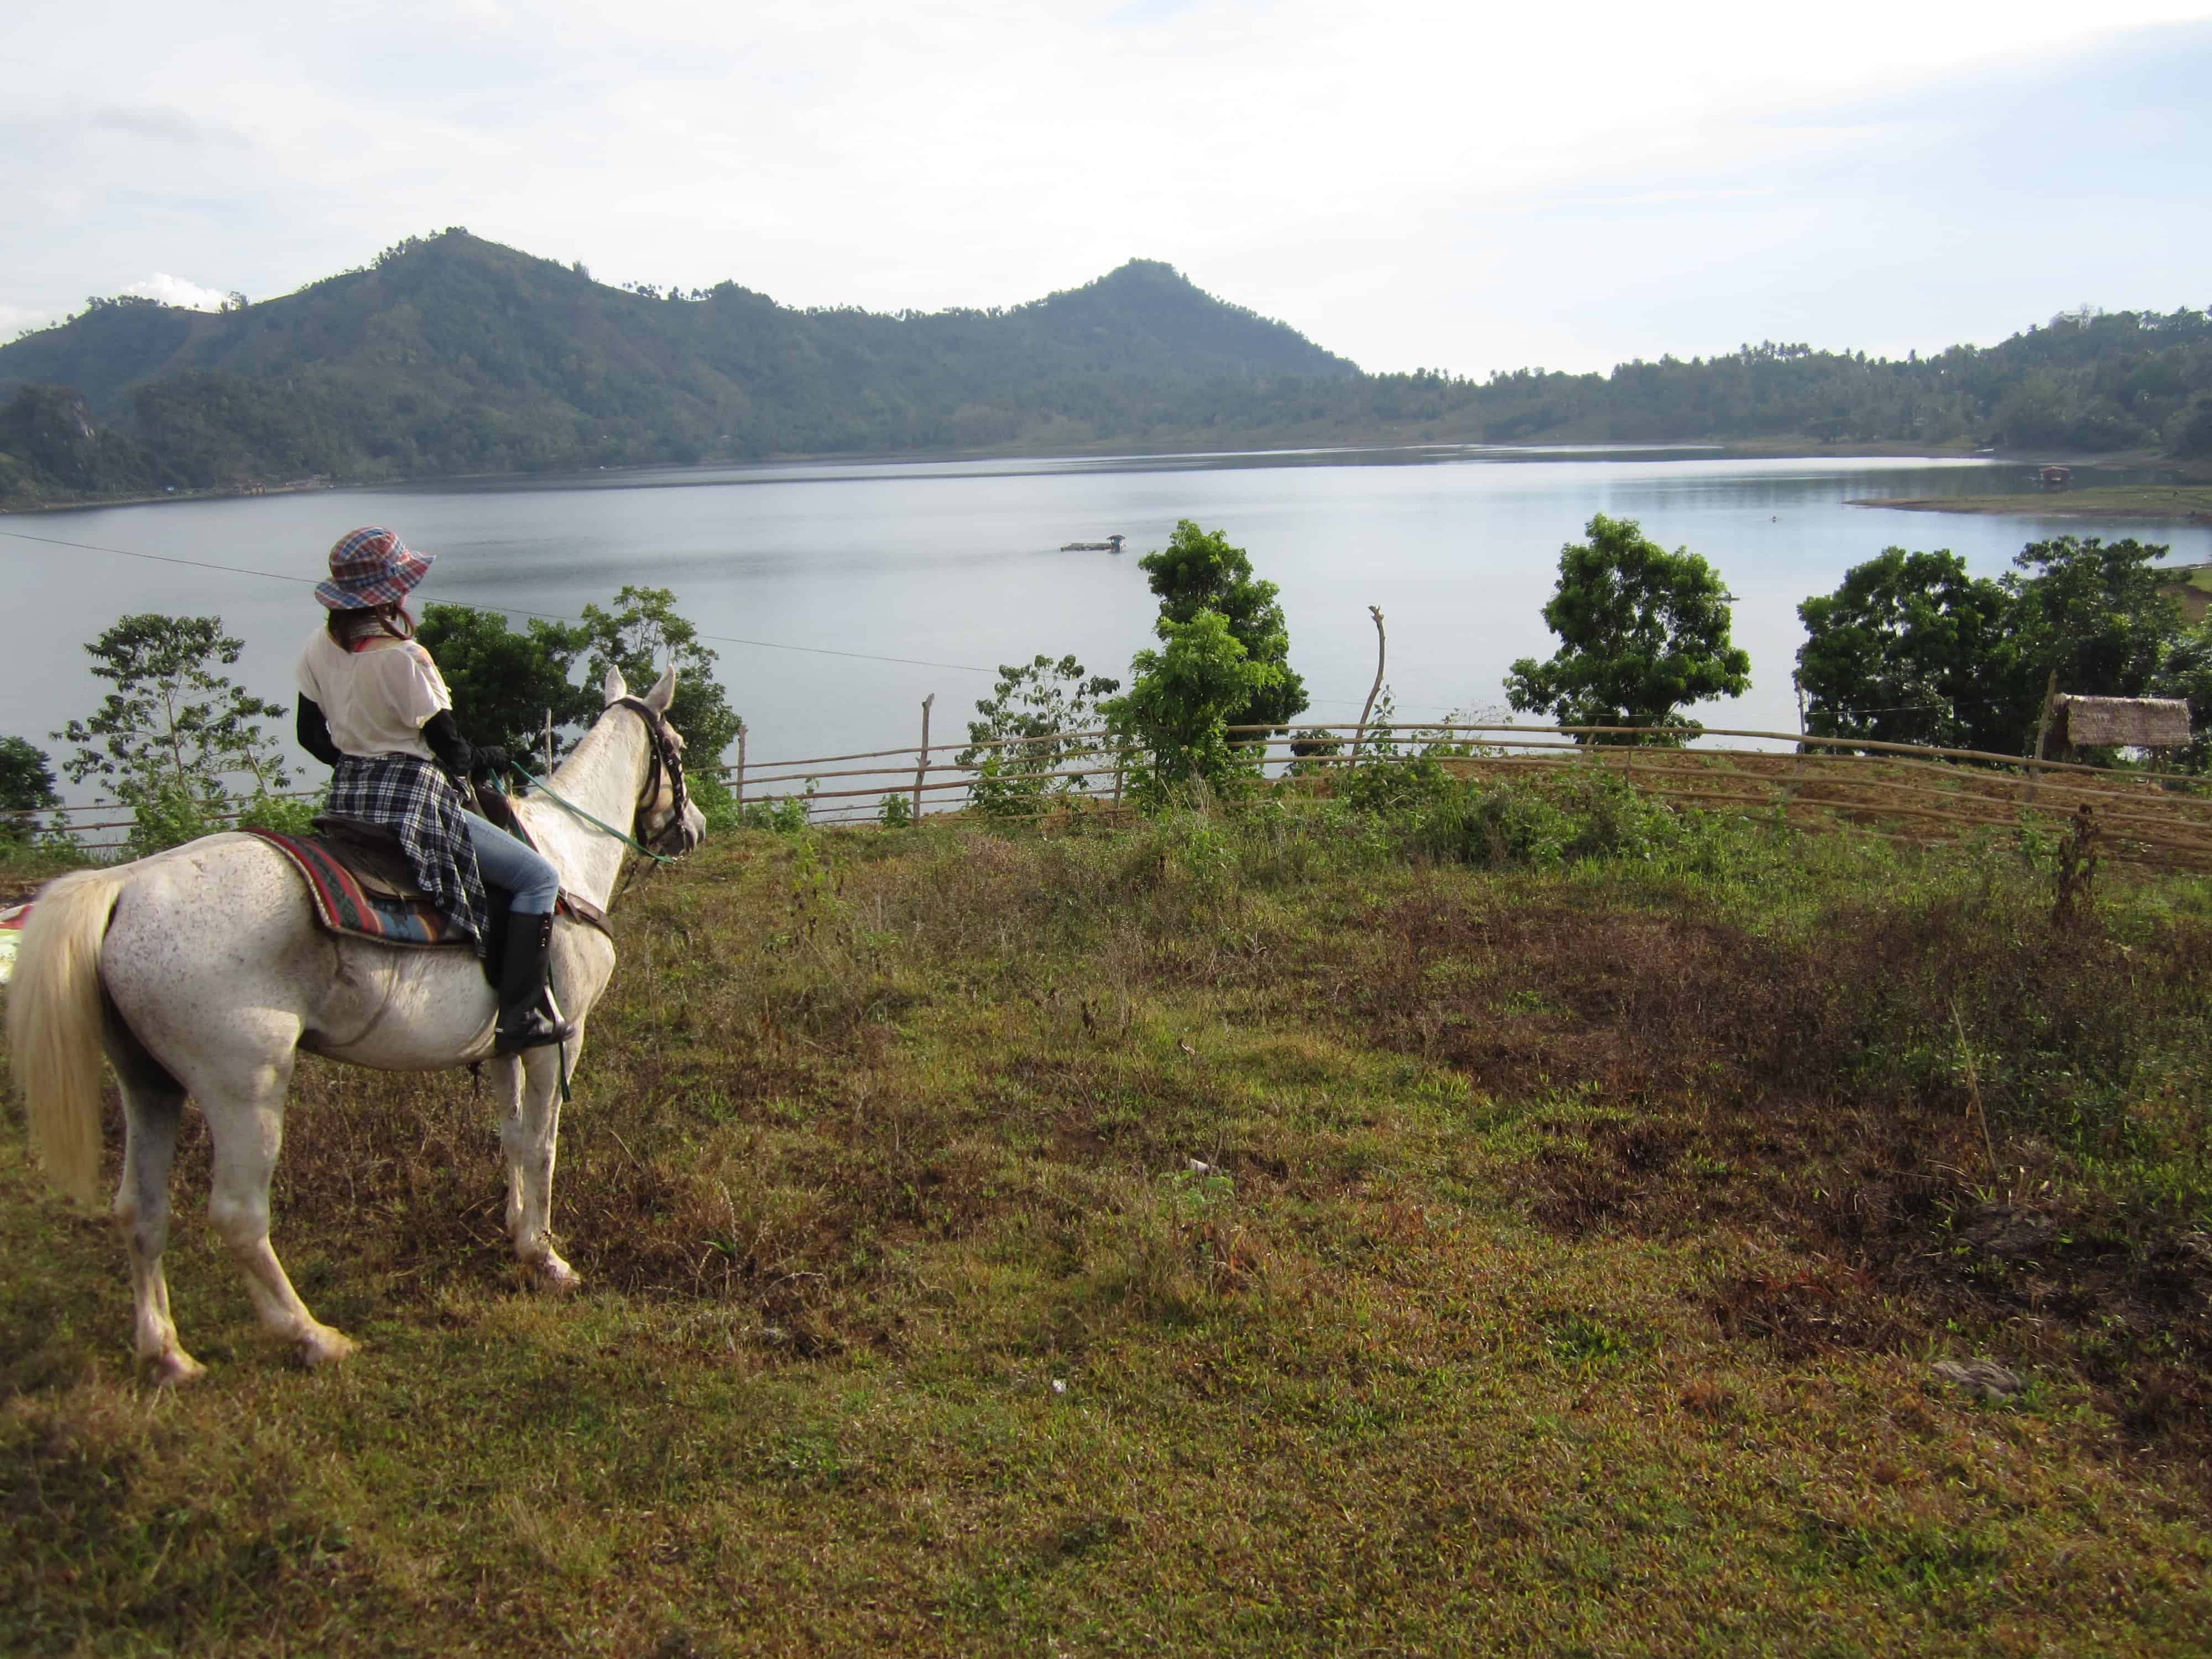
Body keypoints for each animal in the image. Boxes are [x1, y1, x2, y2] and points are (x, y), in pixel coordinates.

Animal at [4, 668, 703, 1380]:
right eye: (676, 748)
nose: (694, 827)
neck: (565, 853)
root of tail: (125, 885)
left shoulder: (509, 1043)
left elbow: (511, 1141)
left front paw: (516, 1234)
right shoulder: (559, 1040)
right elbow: (541, 1146)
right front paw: (547, 1258)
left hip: (148, 1085)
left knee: (140, 1210)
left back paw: (167, 1352)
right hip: (244, 1090)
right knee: (238, 1214)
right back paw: (311, 1335)